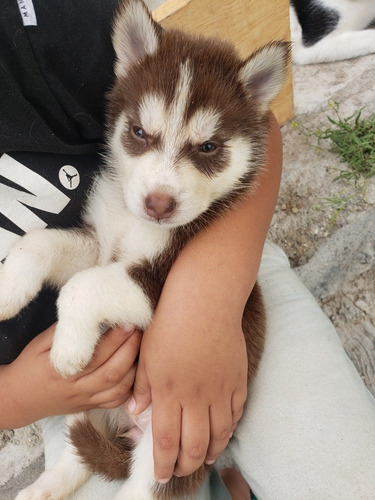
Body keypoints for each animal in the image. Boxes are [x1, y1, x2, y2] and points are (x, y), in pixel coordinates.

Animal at [0, 0, 290, 500]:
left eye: (208, 147)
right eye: (139, 132)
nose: (159, 203)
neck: (135, 224)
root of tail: (126, 429)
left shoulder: (154, 281)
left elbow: (81, 287)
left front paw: (67, 347)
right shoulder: (99, 242)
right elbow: (41, 243)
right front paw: (7, 289)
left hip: (169, 452)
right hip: (88, 414)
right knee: (76, 456)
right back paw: (41, 489)